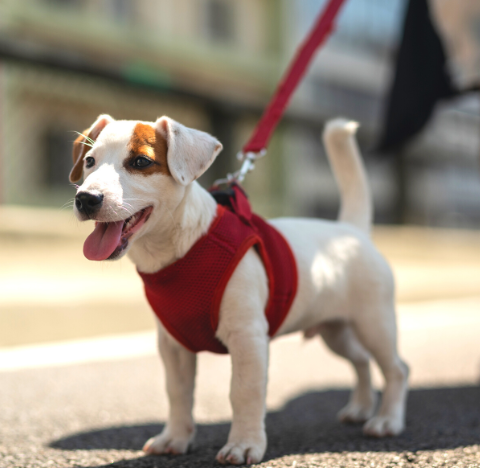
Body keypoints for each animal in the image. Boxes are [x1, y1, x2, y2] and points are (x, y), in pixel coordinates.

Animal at [70, 114, 408, 464]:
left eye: (140, 162)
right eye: (89, 161)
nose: (86, 199)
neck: (182, 249)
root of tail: (351, 231)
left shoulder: (248, 339)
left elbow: (244, 392)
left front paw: (245, 443)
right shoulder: (173, 345)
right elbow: (178, 393)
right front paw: (175, 437)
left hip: (374, 324)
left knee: (396, 369)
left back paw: (386, 420)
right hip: (335, 331)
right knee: (361, 361)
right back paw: (361, 408)